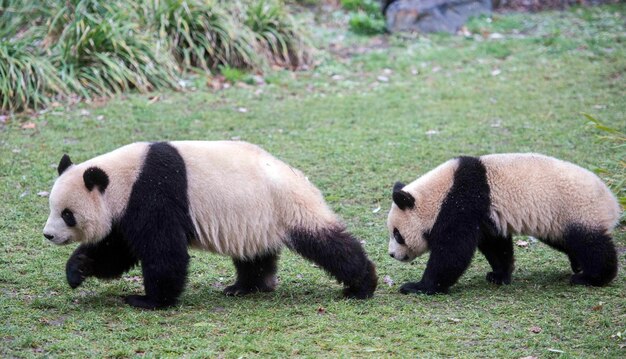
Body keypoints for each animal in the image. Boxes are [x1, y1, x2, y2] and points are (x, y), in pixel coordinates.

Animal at [45, 141, 376, 310]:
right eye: (51, 207)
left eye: (68, 214)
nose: (48, 235)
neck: (123, 176)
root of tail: (302, 179)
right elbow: (116, 250)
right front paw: (77, 271)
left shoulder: (153, 193)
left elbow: (164, 252)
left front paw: (147, 300)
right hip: (256, 217)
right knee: (254, 254)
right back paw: (245, 287)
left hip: (287, 206)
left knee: (328, 243)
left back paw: (362, 285)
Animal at [386, 153, 620, 296]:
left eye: (397, 234)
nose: (392, 254)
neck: (439, 194)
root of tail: (613, 203)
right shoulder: (486, 215)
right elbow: (495, 244)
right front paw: (498, 275)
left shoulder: (463, 205)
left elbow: (452, 252)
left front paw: (418, 286)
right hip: (557, 222)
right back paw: (578, 265)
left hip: (578, 210)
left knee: (591, 244)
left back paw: (591, 277)